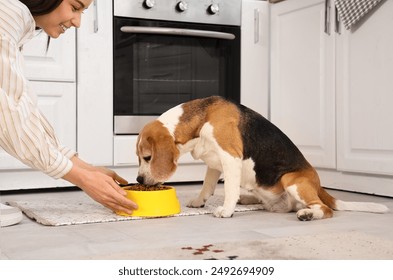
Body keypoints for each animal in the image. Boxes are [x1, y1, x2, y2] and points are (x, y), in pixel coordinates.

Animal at [136, 96, 388, 221]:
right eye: (138, 158)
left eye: (147, 157)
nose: (138, 180)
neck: (202, 117)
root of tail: (318, 186)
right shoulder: (214, 162)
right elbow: (208, 185)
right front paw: (200, 201)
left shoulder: (230, 157)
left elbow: (229, 189)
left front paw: (225, 210)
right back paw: (248, 199)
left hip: (292, 180)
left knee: (325, 209)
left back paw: (308, 214)